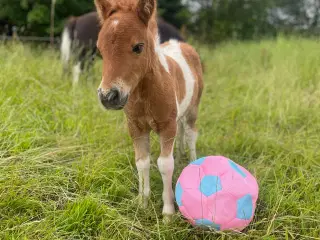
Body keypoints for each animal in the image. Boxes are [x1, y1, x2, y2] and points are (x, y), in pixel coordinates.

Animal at [95, 0, 204, 218]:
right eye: (100, 50)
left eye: (138, 47)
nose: (108, 97)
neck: (144, 95)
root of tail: (182, 44)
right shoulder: (136, 127)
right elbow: (142, 161)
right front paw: (142, 202)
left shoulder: (167, 126)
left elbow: (165, 164)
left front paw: (168, 212)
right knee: (182, 133)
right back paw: (180, 154)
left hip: (193, 109)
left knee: (190, 134)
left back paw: (192, 162)